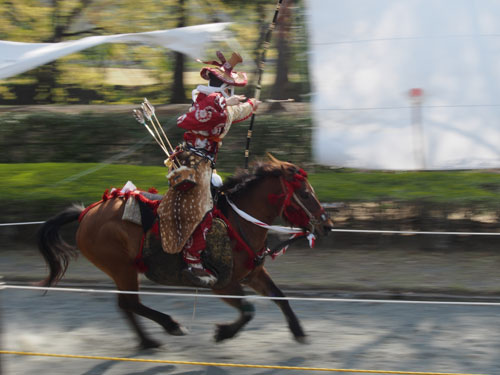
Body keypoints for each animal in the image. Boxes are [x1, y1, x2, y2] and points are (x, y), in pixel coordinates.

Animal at [37, 157, 334, 352]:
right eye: (306, 194)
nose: (327, 225)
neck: (238, 221)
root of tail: (86, 213)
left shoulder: (254, 272)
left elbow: (280, 297)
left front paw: (298, 331)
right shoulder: (223, 283)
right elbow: (248, 310)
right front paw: (223, 333)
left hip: (124, 269)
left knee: (126, 305)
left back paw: (148, 340)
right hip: (121, 267)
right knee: (130, 303)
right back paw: (169, 326)